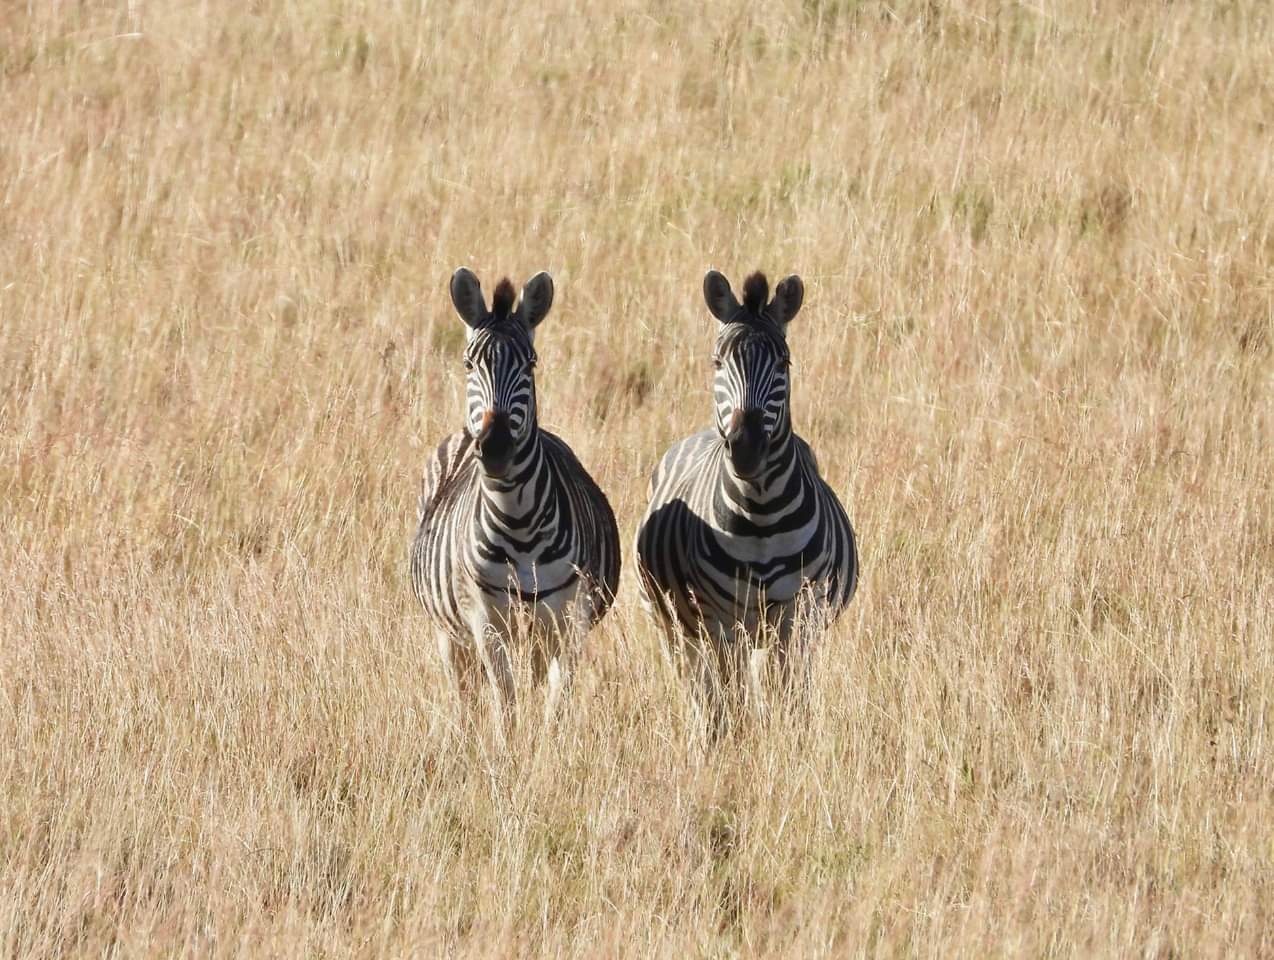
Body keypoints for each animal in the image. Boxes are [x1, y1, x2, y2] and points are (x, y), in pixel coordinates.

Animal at [410, 268, 621, 726]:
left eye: (530, 363)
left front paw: (548, 744)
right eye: (469, 363)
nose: (496, 448)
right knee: (464, 692)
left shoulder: (567, 619)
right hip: (449, 632)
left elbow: (555, 704)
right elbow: (505, 704)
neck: (518, 519)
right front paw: (510, 744)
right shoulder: (485, 622)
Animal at [634, 269, 858, 731]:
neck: (762, 517)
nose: (747, 449)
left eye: (784, 363)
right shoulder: (721, 621)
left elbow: (790, 698)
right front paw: (740, 743)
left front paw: (790, 739)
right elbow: (731, 701)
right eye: (718, 363)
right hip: (673, 626)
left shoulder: (796, 615)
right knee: (700, 690)